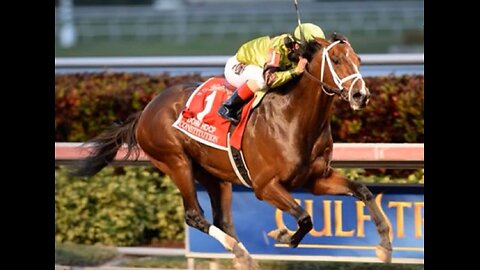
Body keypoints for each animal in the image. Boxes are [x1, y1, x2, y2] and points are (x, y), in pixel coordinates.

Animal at [73, 33, 392, 268]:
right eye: (336, 60)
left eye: (358, 60)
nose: (361, 95)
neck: (294, 117)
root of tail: (146, 110)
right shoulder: (265, 186)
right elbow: (304, 218)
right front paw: (283, 234)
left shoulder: (316, 179)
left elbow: (363, 191)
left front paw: (385, 247)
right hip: (175, 161)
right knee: (195, 215)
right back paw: (242, 255)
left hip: (215, 176)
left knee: (223, 221)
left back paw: (242, 255)